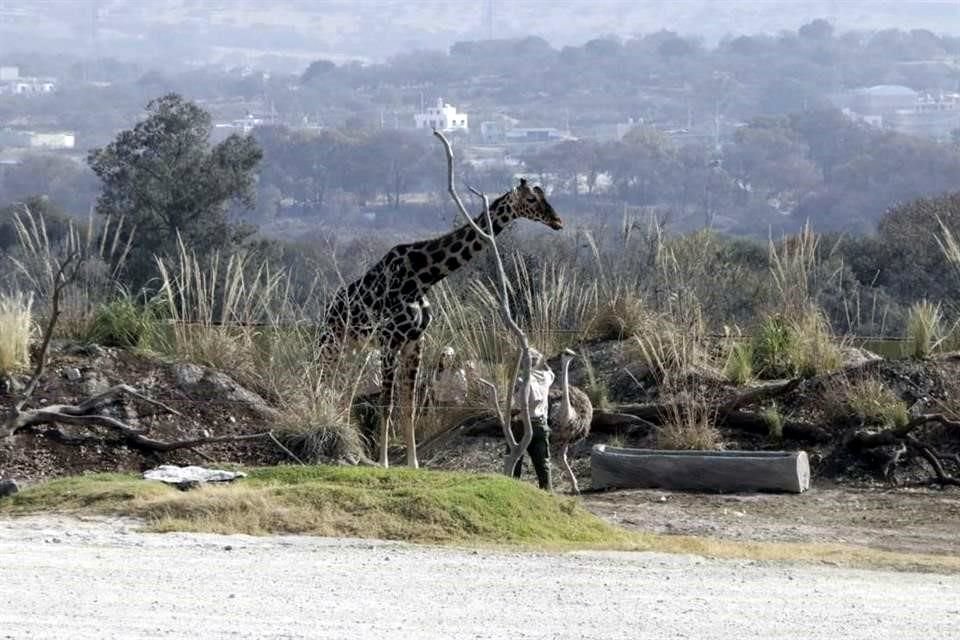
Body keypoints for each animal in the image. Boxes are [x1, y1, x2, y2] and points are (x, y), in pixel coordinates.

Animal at [318, 178, 568, 468]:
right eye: (530, 199)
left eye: (543, 195)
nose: (558, 221)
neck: (421, 277)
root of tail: (329, 308)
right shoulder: (391, 341)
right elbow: (387, 403)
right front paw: (384, 463)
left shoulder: (415, 342)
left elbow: (410, 406)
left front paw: (413, 464)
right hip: (331, 344)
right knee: (322, 382)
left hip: (357, 349)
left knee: (344, 390)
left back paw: (354, 450)